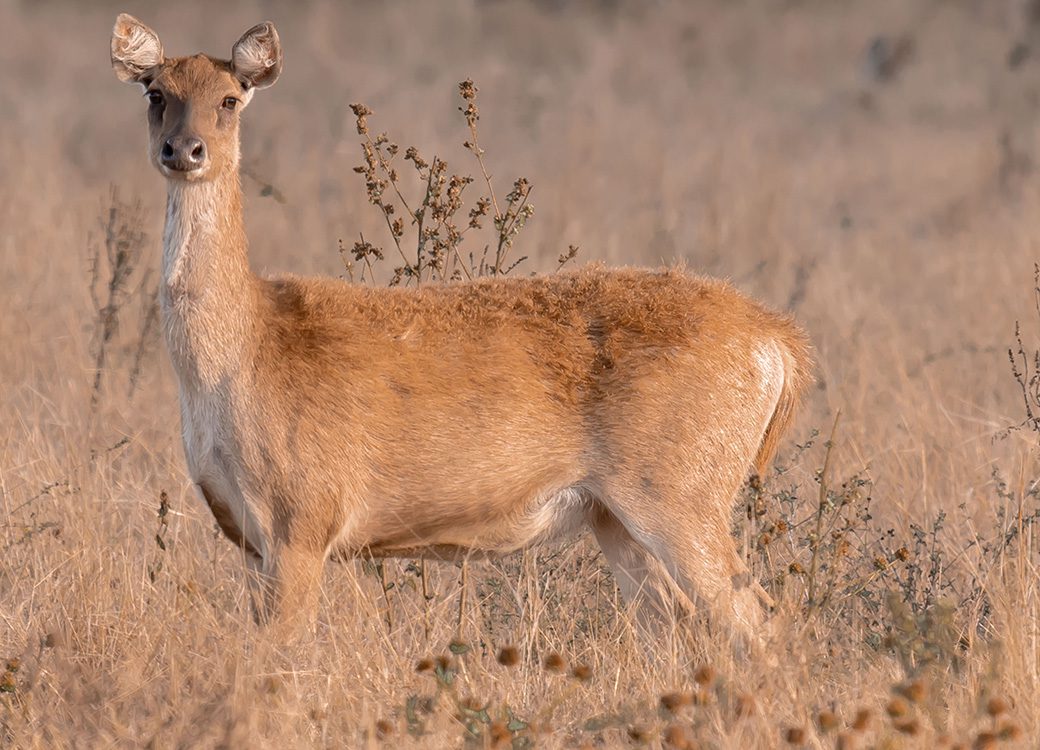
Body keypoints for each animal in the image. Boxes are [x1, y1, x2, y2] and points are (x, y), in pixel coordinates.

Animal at [110, 13, 814, 648]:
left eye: (230, 99)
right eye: (155, 92)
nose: (184, 151)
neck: (240, 354)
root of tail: (777, 343)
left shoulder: (302, 519)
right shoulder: (251, 540)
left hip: (681, 490)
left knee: (761, 619)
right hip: (617, 518)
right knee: (680, 626)